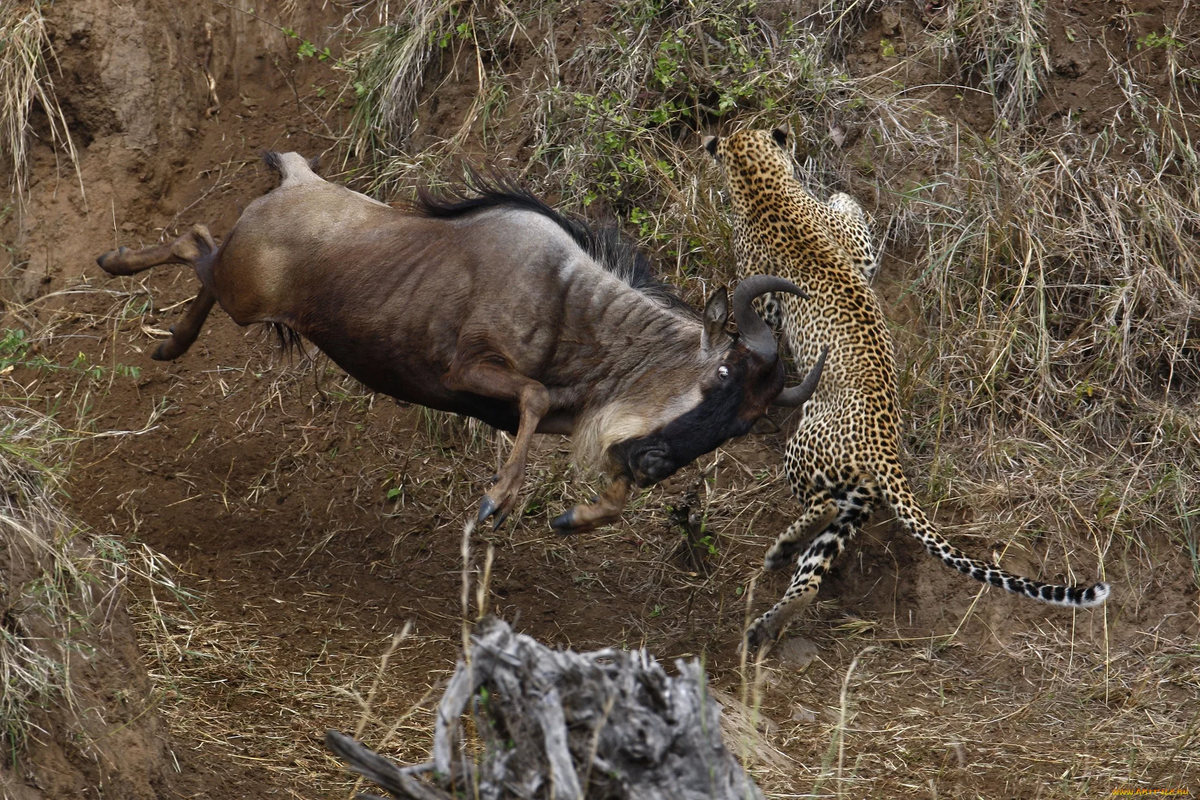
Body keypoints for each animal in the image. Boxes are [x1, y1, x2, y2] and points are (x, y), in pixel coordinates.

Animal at [700, 126, 1104, 652]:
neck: (763, 185)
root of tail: (885, 451)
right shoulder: (858, 255)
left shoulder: (767, 294)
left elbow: (840, 210)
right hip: (855, 505)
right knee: (811, 574)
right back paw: (769, 618)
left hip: (808, 453)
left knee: (819, 508)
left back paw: (778, 553)